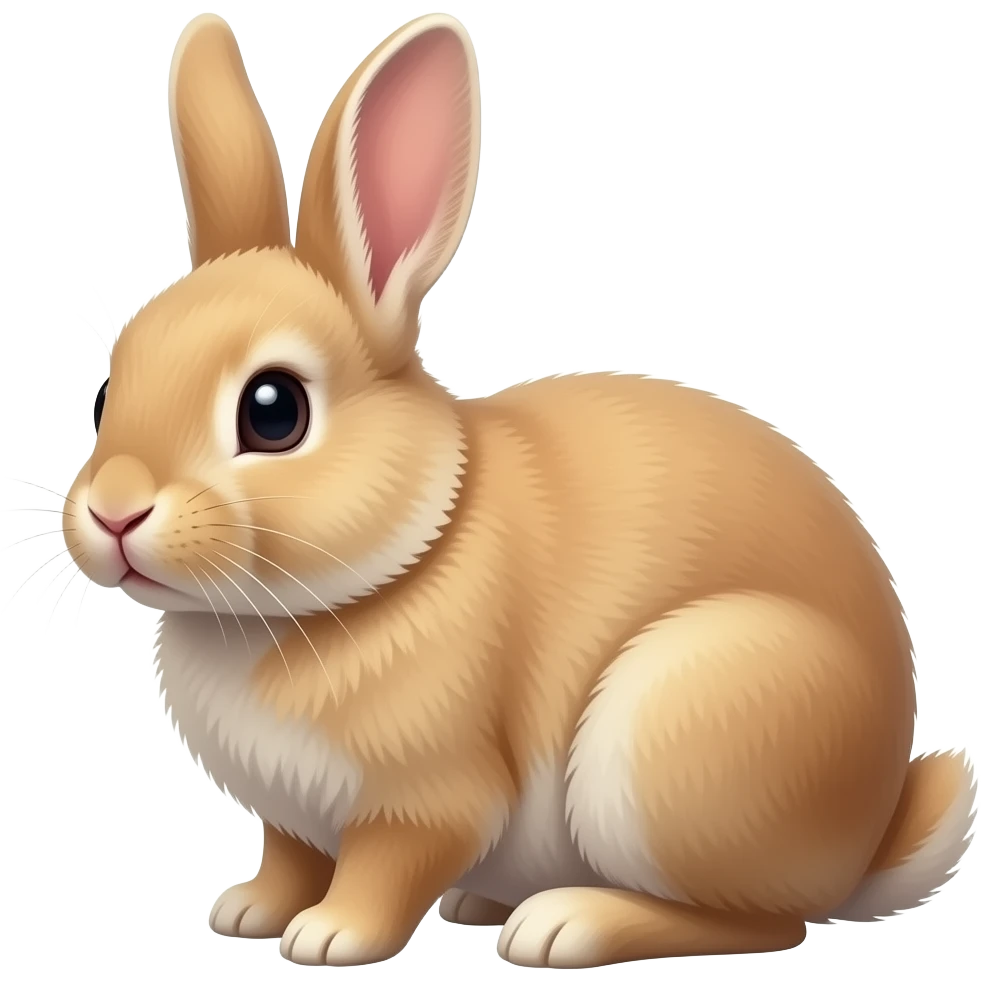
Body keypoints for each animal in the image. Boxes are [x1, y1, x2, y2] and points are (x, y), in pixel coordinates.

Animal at [60, 10, 977, 970]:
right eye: (104, 394)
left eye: (274, 410)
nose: (113, 512)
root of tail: (868, 837)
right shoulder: (290, 816)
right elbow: (287, 855)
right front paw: (247, 912)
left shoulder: (427, 796)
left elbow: (386, 865)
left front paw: (330, 935)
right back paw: (483, 901)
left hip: (672, 735)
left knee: (762, 921)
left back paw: (564, 923)